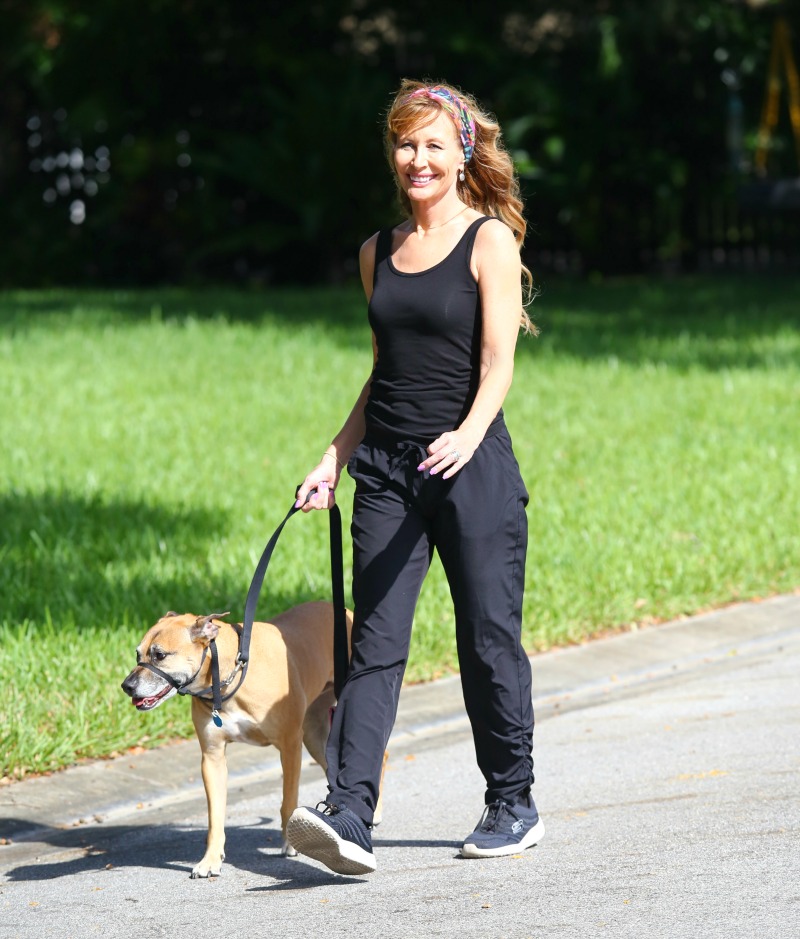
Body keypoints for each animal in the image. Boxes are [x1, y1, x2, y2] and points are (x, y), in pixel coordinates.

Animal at [119, 604, 354, 880]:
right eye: (138, 655)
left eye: (159, 655)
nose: (126, 686)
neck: (231, 673)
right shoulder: (212, 758)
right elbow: (215, 817)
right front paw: (210, 860)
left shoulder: (290, 746)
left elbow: (288, 802)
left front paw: (290, 843)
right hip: (314, 734)